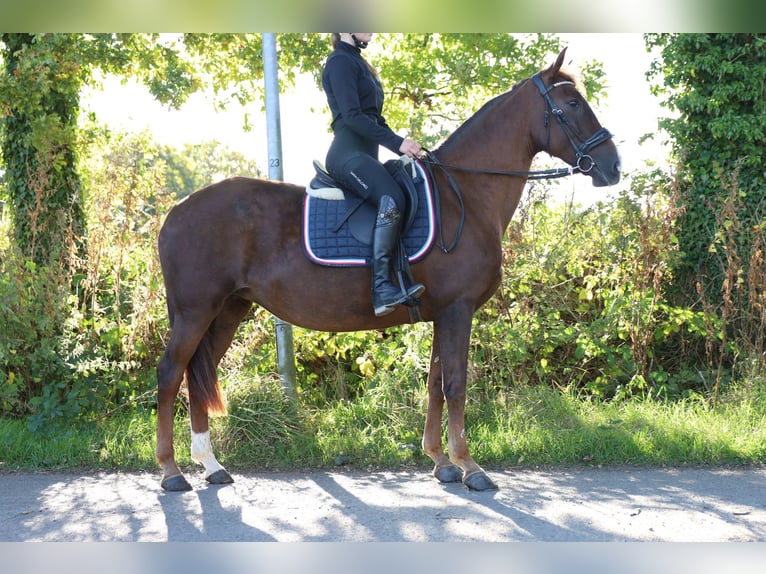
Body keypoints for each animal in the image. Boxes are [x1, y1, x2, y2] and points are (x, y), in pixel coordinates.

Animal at [156, 47, 624, 492]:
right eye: (572, 103)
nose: (613, 166)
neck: (466, 196)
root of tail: (177, 210)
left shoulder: (444, 313)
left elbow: (435, 383)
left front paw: (440, 461)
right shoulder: (458, 310)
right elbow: (455, 385)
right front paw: (470, 466)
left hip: (227, 311)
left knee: (197, 374)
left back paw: (211, 465)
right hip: (196, 311)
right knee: (170, 372)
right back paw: (171, 471)